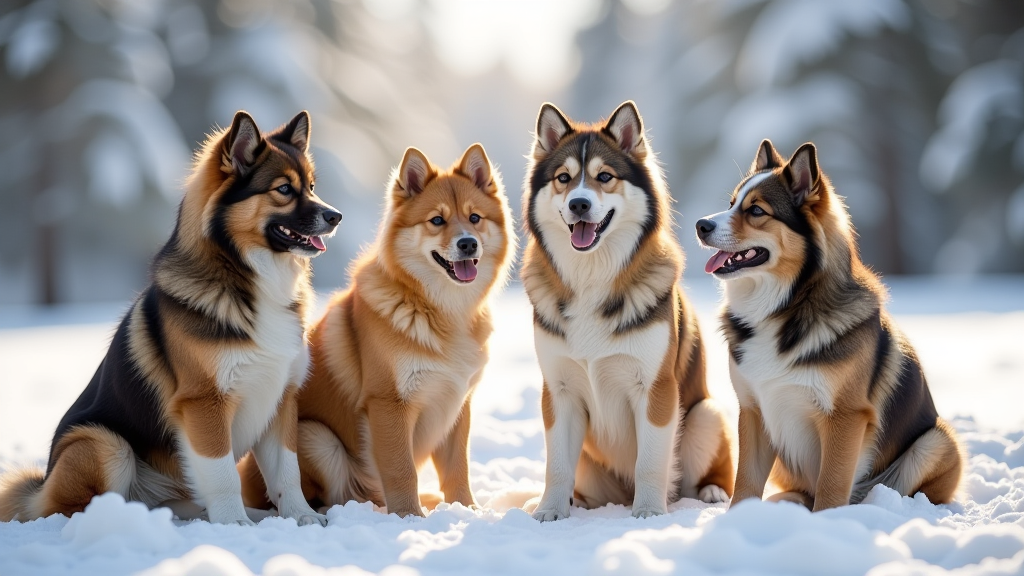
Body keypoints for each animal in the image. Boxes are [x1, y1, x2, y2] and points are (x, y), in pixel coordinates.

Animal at [0, 109, 344, 522]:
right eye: (284, 189)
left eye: (311, 186)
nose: (336, 216)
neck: (249, 280)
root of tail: (40, 488)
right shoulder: (204, 402)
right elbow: (223, 473)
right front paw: (233, 523)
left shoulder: (281, 397)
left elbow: (287, 471)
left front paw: (301, 516)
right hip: (103, 442)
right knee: (73, 507)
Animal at [524, 100, 733, 518]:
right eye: (563, 178)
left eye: (604, 176)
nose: (579, 203)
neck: (591, 277)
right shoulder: (559, 390)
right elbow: (557, 465)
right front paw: (550, 511)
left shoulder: (655, 388)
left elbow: (651, 461)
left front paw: (650, 511)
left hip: (706, 415)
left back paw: (711, 493)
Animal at [700, 141, 962, 508]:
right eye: (731, 204)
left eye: (756, 211)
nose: (700, 225)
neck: (787, 306)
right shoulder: (753, 410)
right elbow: (746, 483)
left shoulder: (845, 417)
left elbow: (831, 486)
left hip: (937, 441)